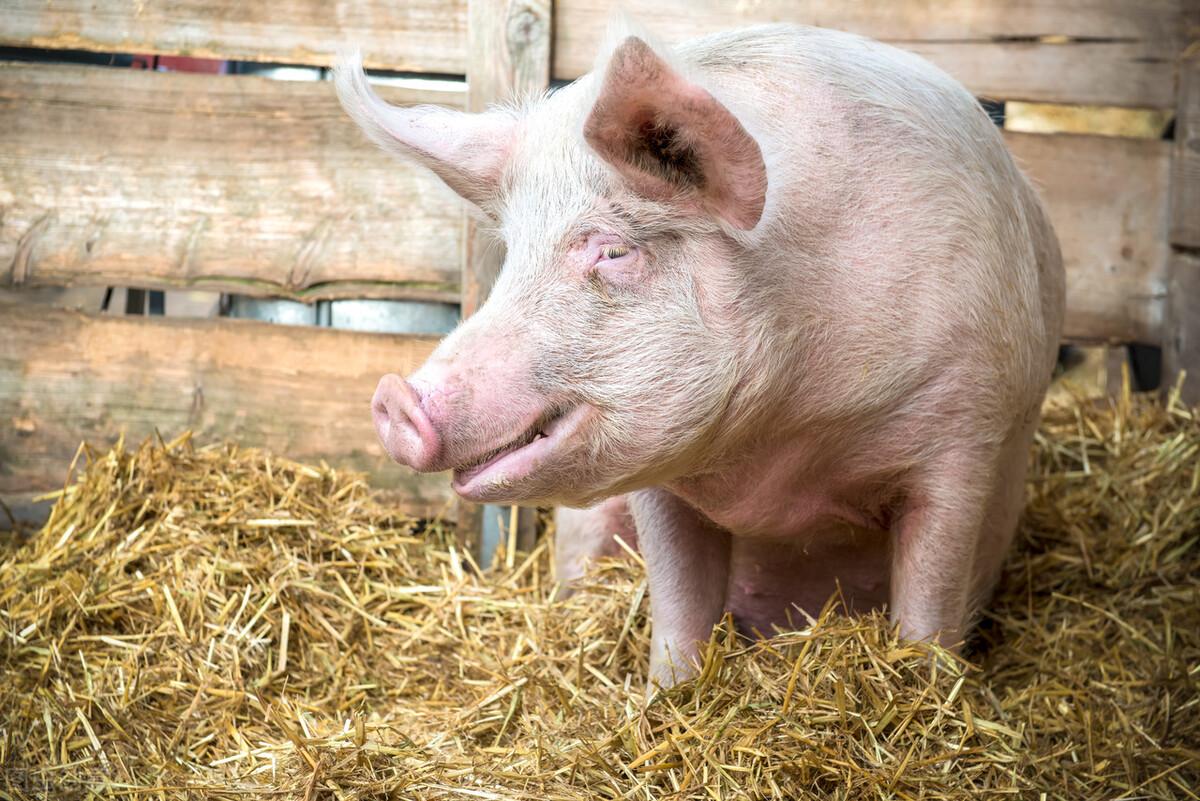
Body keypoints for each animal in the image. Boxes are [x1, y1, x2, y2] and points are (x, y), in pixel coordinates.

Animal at [336, 25, 1060, 690]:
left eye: (613, 250)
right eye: (514, 256)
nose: (393, 398)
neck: (782, 455)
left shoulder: (967, 429)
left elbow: (930, 600)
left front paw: (924, 690)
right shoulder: (654, 474)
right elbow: (679, 601)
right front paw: (667, 696)